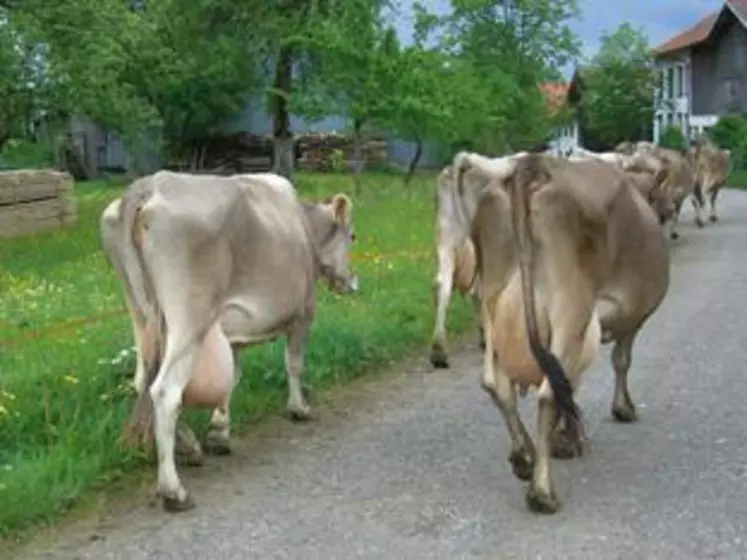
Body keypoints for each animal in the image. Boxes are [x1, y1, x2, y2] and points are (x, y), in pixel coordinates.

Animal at [100, 171, 360, 512]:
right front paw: (299, 408)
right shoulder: (303, 313)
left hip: (141, 313)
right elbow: (293, 364)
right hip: (189, 319)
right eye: (352, 235)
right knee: (166, 390)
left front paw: (218, 432)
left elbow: (232, 376)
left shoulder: (232, 329)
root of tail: (147, 187)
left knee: (144, 379)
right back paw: (174, 491)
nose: (351, 282)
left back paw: (189, 447)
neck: (303, 225)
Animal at [456, 151, 672, 516]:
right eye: (660, 195)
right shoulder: (630, 318)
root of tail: (533, 166)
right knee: (547, 393)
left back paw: (525, 457)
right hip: (570, 307)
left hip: (491, 301)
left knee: (496, 383)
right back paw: (542, 491)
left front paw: (566, 436)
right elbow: (619, 361)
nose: (669, 211)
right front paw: (618, 411)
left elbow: (570, 382)